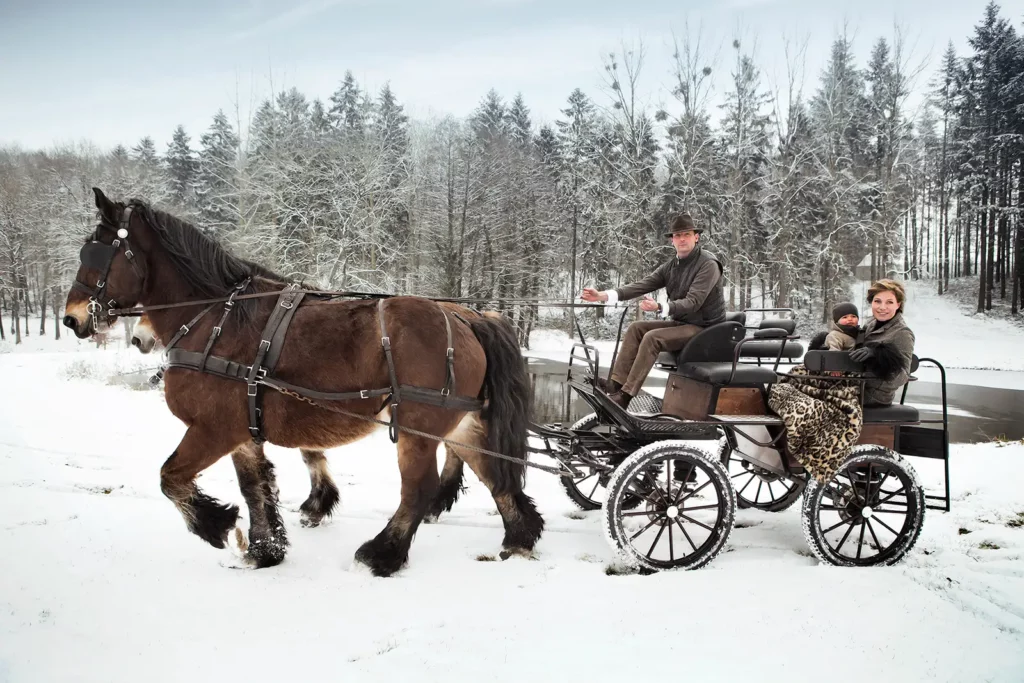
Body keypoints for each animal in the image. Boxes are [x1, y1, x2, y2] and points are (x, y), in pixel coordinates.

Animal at [64, 188, 544, 575]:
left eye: (96, 253)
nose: (70, 318)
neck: (216, 317)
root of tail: (468, 317)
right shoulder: (241, 430)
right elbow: (254, 487)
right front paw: (265, 549)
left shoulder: (213, 429)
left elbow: (170, 478)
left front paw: (215, 524)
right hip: (462, 425)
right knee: (497, 477)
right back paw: (519, 538)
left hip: (419, 428)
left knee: (419, 489)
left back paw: (382, 555)